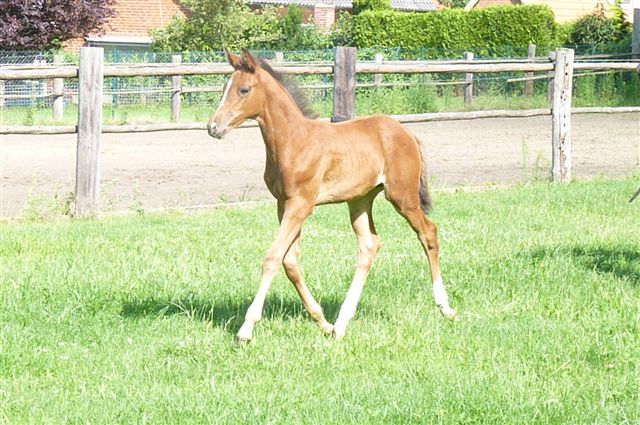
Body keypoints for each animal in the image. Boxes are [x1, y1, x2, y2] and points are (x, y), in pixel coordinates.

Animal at [206, 50, 456, 342]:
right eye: (224, 88)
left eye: (244, 90)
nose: (213, 127)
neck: (294, 140)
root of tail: (406, 132)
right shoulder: (284, 204)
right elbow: (290, 262)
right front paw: (322, 321)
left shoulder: (301, 204)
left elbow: (272, 258)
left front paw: (246, 329)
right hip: (360, 200)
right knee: (369, 245)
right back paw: (340, 323)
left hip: (402, 196)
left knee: (428, 233)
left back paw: (445, 307)